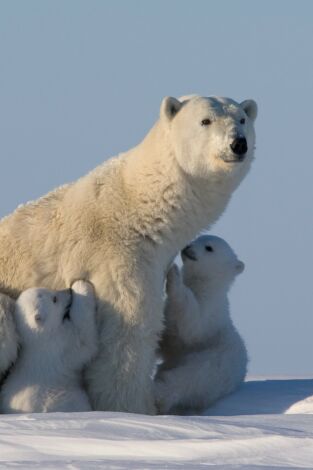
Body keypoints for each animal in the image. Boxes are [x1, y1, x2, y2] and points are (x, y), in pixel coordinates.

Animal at [0, 280, 97, 414]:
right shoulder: (60, 345)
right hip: (64, 398)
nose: (68, 290)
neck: (37, 337)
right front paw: (81, 285)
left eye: (51, 291)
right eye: (54, 299)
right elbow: (84, 340)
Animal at [155, 237, 247, 414]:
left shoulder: (210, 316)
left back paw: (160, 394)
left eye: (209, 247)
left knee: (187, 378)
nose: (186, 247)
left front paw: (174, 274)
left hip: (211, 367)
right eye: (197, 238)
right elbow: (168, 337)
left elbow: (192, 325)